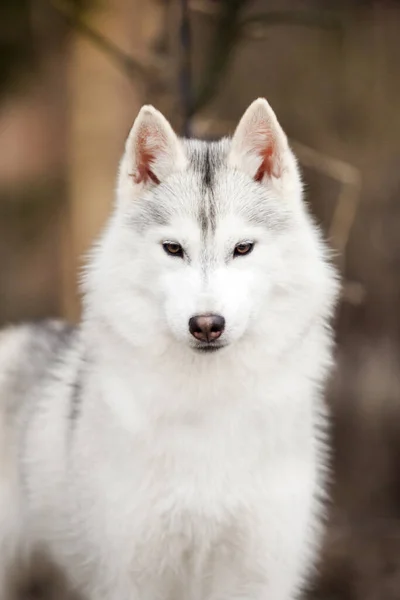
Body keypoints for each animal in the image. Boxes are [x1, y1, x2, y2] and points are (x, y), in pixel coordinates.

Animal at [0, 99, 340, 600]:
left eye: (243, 248)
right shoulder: (131, 573)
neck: (207, 407)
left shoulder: (257, 571)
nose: (207, 325)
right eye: (173, 248)